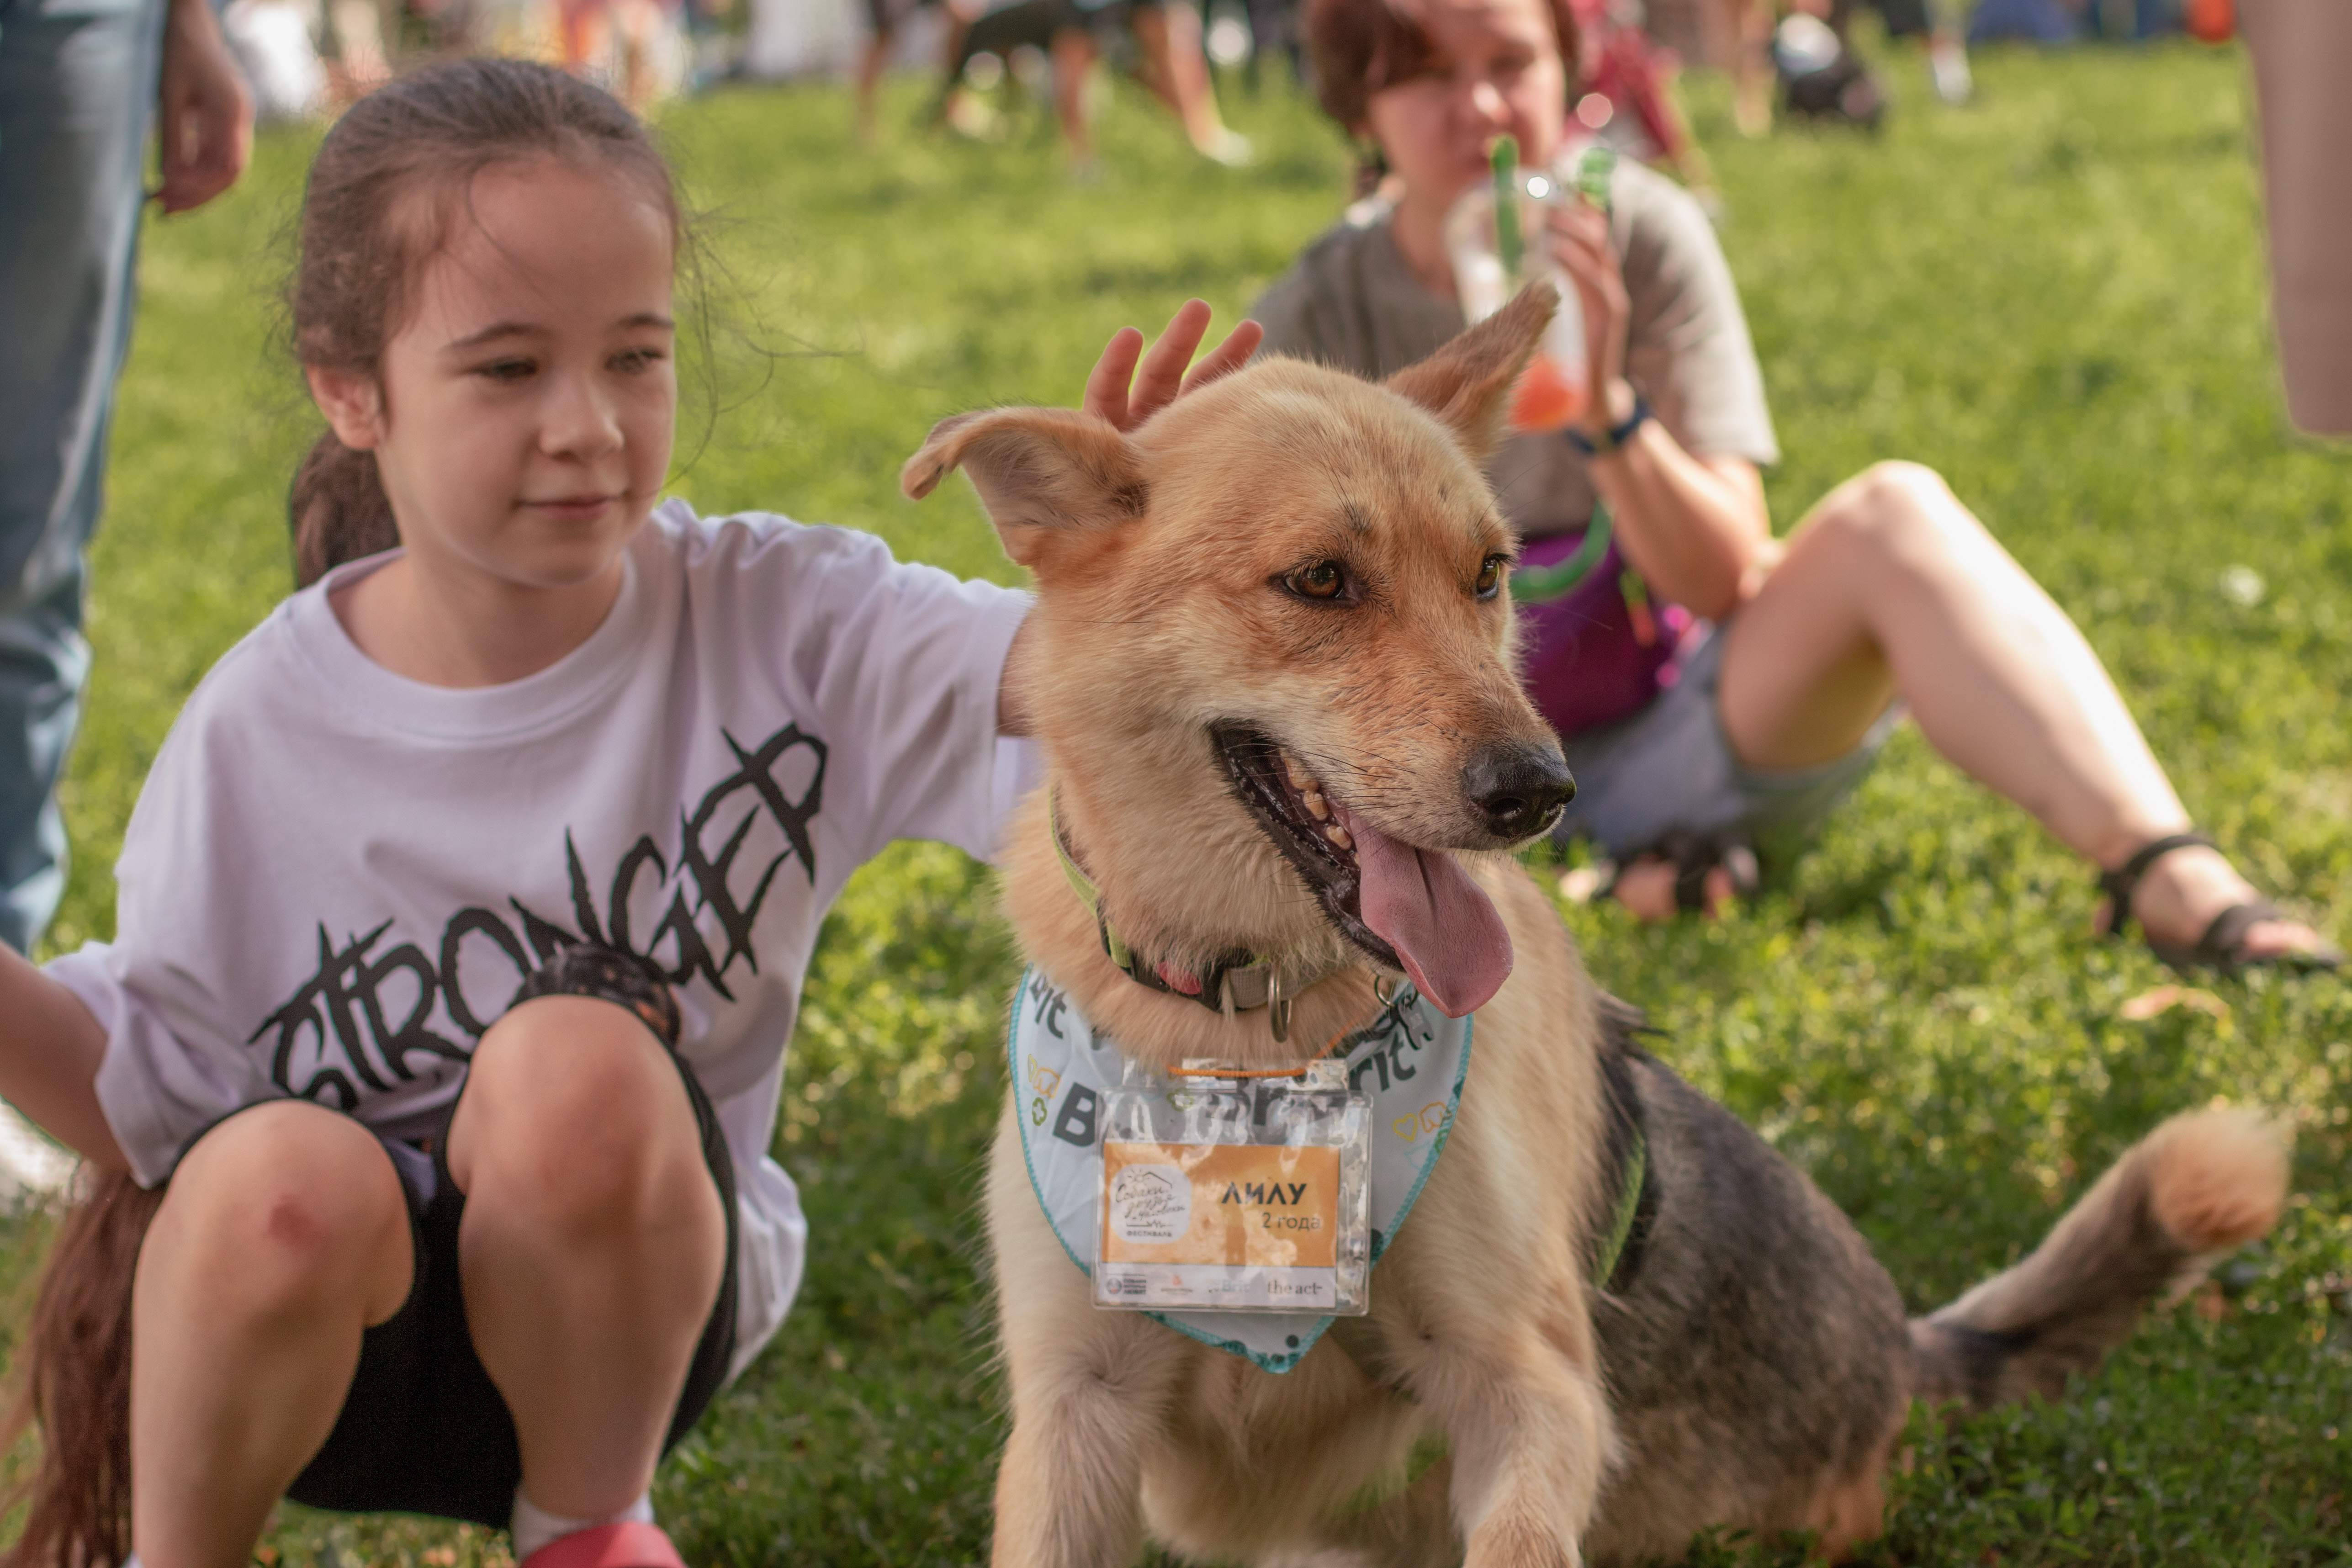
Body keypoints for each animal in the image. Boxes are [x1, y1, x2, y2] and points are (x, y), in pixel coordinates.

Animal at [903, 286, 2295, 1568]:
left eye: (1488, 576)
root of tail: (1900, 1353)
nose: (1537, 793)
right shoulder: (1077, 1409)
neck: (1257, 1039)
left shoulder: (1530, 1381)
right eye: (1319, 582)